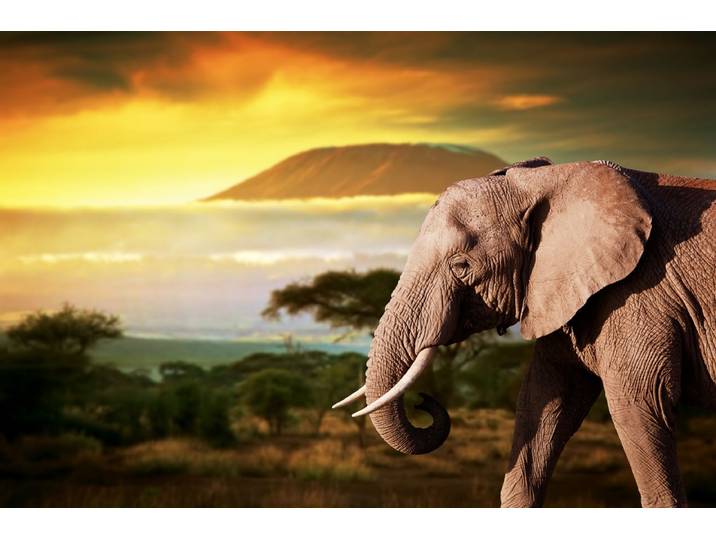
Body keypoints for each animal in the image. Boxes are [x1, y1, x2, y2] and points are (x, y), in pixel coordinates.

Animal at [333, 157, 716, 507]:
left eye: (461, 266)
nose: (423, 402)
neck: (545, 181)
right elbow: (544, 402)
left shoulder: (641, 291)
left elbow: (638, 402)